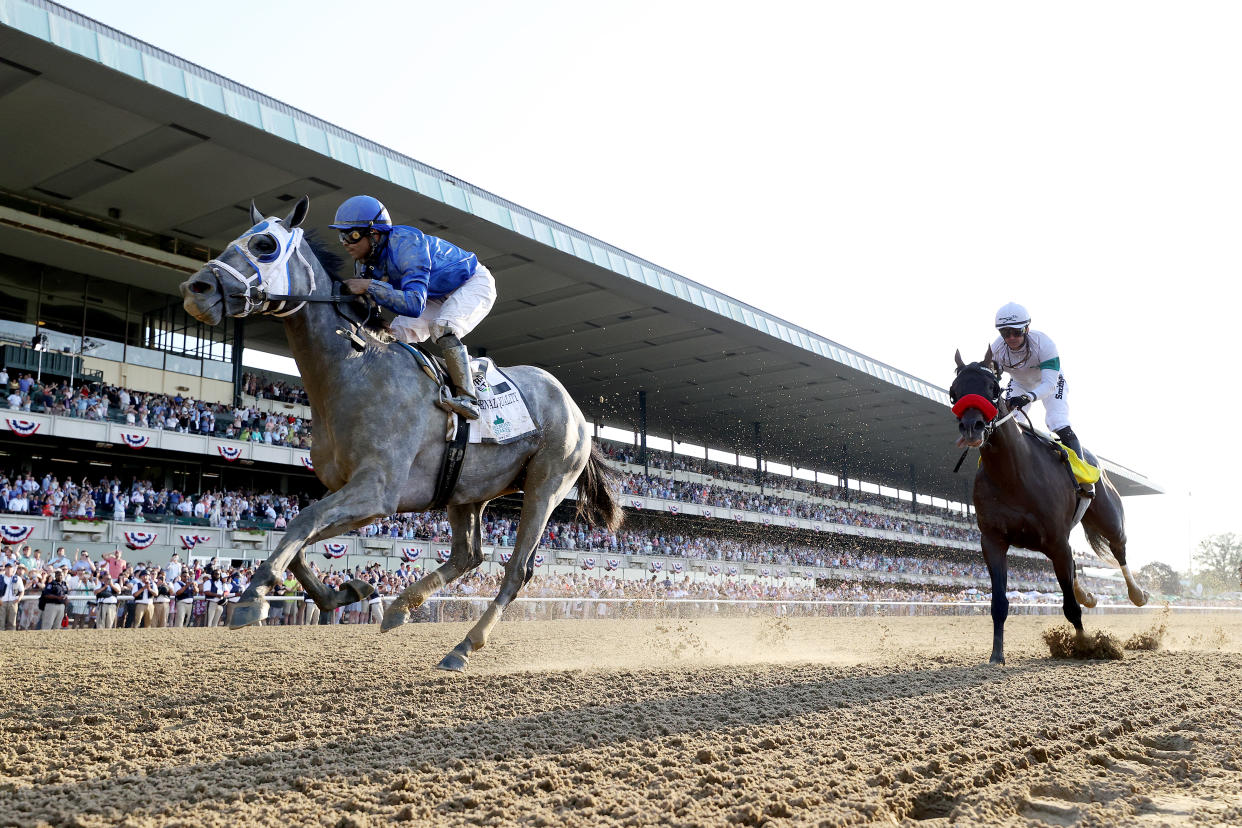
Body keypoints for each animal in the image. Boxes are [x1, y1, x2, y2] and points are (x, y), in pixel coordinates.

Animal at [177, 197, 621, 670]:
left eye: (265, 245)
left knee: (517, 570)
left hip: (546, 483)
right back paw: (399, 607)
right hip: (467, 490)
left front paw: (252, 596)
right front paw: (346, 591)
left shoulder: (378, 490)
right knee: (468, 555)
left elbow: (302, 521)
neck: (355, 367)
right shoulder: (349, 489)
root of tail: (575, 410)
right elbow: (299, 539)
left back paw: (462, 647)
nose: (195, 289)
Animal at [948, 347, 1142, 665]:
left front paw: (1084, 645)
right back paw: (1090, 595)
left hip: (1108, 519)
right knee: (1075, 568)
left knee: (1119, 550)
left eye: (993, 388)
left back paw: (1138, 594)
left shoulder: (1056, 539)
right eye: (954, 392)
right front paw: (997, 655)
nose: (972, 427)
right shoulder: (993, 540)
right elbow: (999, 603)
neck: (1013, 475)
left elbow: (1070, 606)